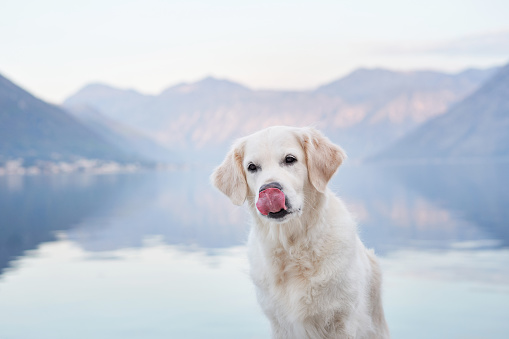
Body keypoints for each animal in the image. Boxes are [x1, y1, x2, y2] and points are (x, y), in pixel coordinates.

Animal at [210, 127, 388, 339]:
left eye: (290, 159)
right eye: (252, 167)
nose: (269, 190)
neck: (292, 247)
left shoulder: (343, 321)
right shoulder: (280, 324)